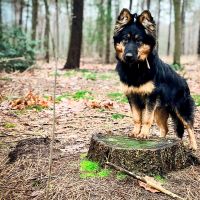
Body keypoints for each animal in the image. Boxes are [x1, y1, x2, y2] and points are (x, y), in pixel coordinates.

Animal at [113, 9, 198, 150]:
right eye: (125, 39)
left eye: (139, 41)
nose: (128, 56)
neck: (135, 68)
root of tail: (184, 82)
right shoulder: (132, 96)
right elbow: (137, 118)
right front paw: (135, 132)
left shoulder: (150, 98)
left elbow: (147, 119)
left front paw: (143, 134)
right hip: (159, 111)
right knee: (165, 128)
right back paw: (161, 139)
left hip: (181, 109)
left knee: (189, 126)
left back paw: (194, 146)